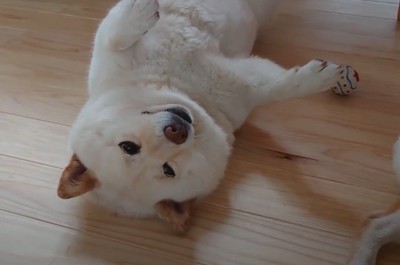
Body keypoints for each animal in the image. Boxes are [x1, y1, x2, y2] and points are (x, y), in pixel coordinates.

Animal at [57, 0, 346, 231]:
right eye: (168, 170)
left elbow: (113, 36)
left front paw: (138, 11)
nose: (176, 131)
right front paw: (320, 79)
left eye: (128, 146)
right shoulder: (245, 85)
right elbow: (278, 88)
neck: (178, 86)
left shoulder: (108, 56)